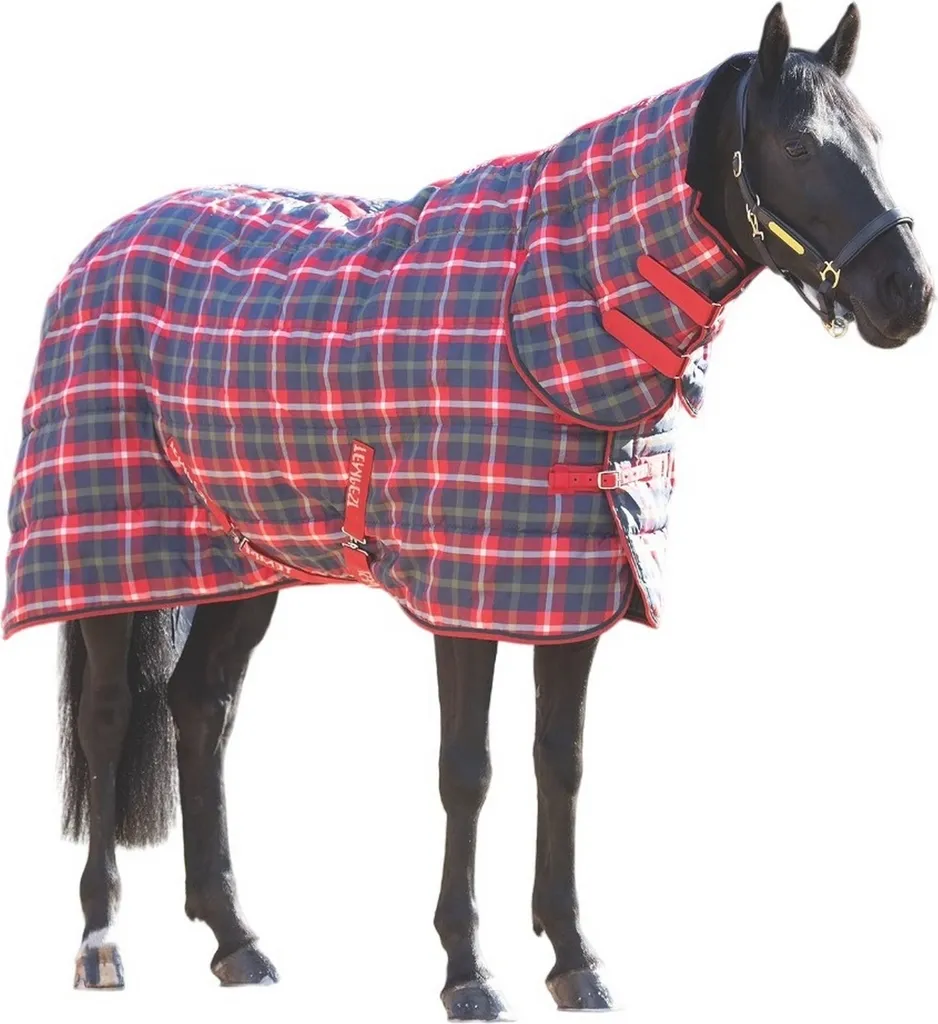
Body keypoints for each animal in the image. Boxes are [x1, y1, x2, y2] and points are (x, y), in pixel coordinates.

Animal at [2, 3, 931, 1018]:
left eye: (876, 137)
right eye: (799, 145)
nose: (907, 293)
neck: (550, 310)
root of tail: (98, 250)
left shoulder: (574, 587)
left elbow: (559, 762)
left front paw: (574, 958)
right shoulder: (465, 594)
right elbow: (468, 773)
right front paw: (467, 970)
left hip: (246, 559)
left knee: (199, 706)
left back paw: (237, 940)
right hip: (101, 558)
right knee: (106, 718)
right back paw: (101, 944)